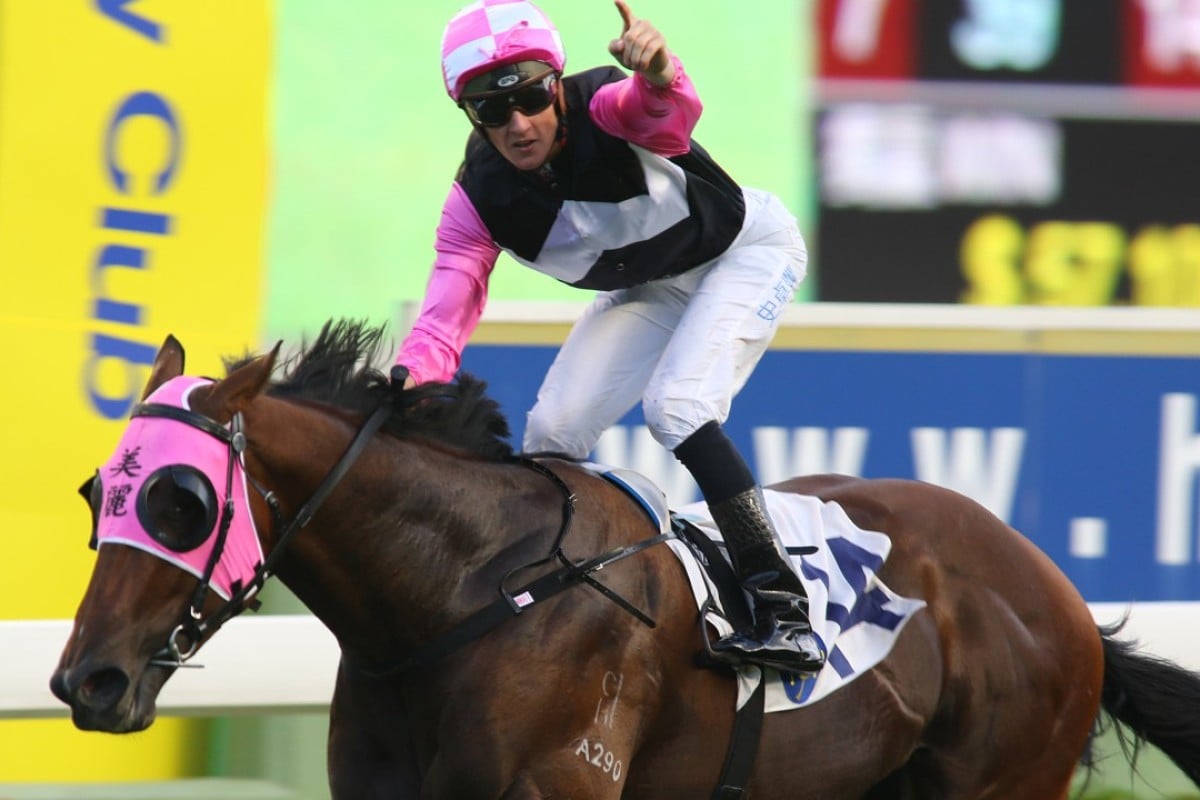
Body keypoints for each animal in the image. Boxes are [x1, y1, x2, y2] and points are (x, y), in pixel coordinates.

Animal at [51, 321, 1200, 800]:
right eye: (98, 492)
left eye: (182, 500)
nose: (86, 680)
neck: (460, 593)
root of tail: (1054, 591)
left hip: (1003, 777)